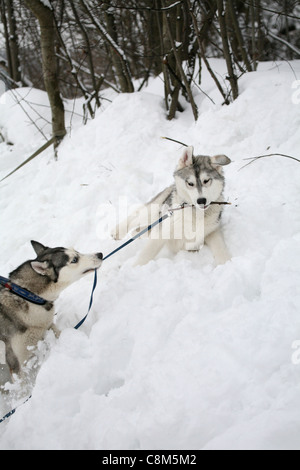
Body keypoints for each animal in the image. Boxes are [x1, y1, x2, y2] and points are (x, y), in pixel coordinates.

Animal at [0, 242, 102, 382]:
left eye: (76, 251)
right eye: (74, 260)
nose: (100, 254)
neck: (28, 295)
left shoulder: (48, 326)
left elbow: (60, 334)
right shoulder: (16, 363)